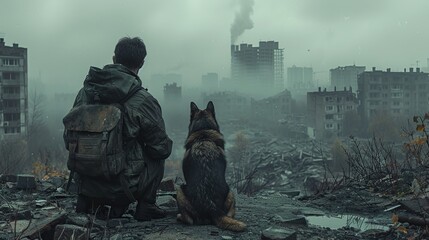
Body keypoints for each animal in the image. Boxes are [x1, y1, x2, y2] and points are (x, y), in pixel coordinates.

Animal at [176, 101, 246, 232]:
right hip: (230, 192)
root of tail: (212, 208)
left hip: (179, 190)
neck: (204, 133)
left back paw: (179, 216)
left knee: (189, 220)